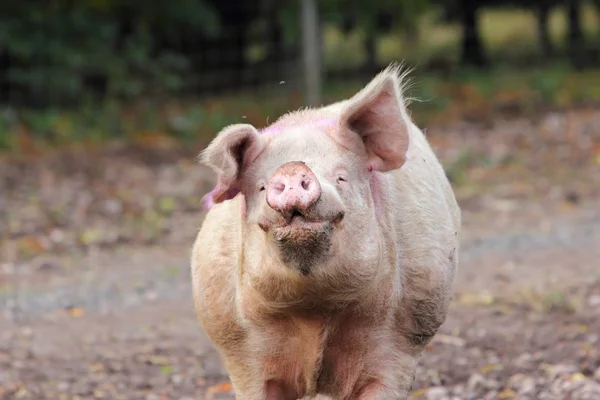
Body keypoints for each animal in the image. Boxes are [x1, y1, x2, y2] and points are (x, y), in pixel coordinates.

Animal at [190, 64, 462, 398]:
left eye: (341, 177)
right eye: (261, 186)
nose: (292, 168)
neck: (315, 310)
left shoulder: (402, 344)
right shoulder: (242, 353)